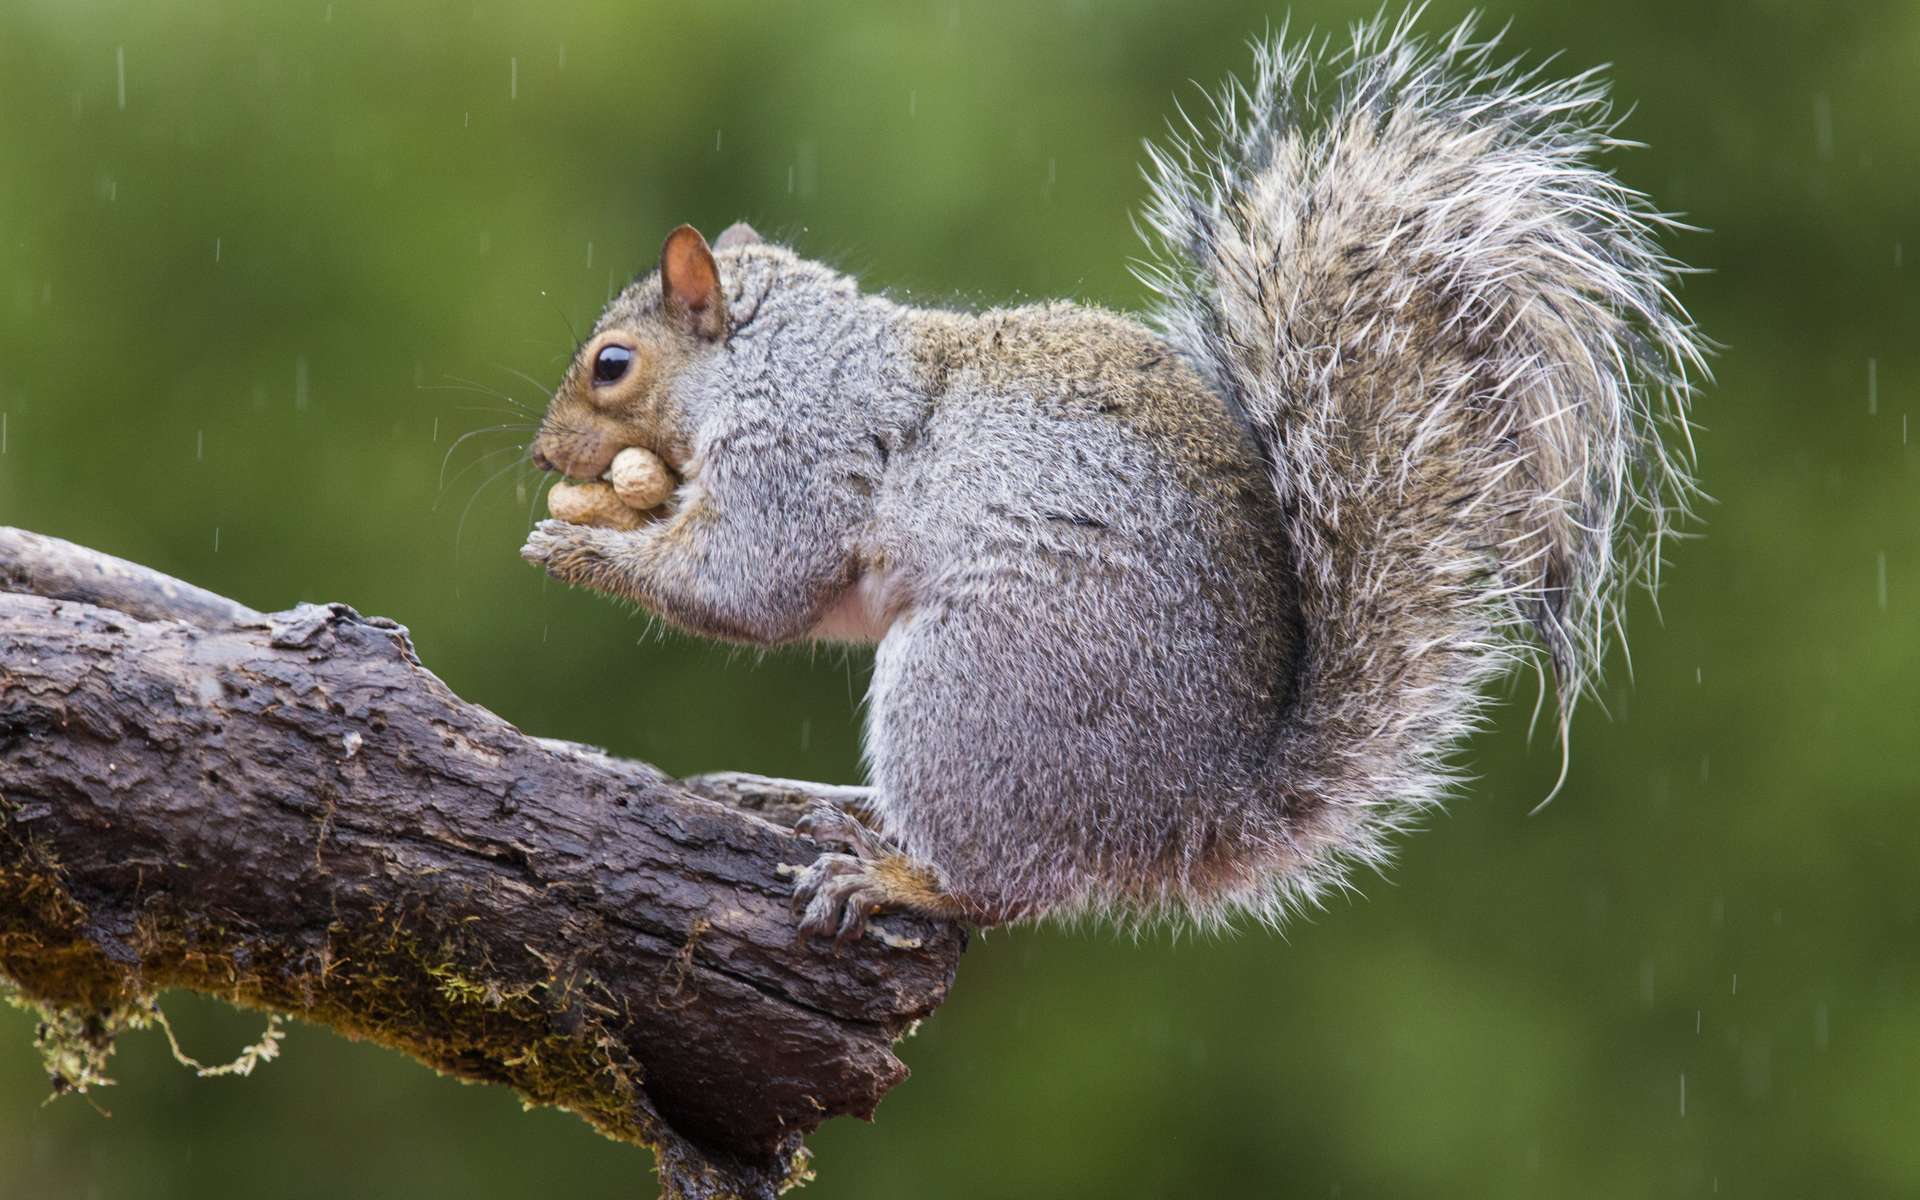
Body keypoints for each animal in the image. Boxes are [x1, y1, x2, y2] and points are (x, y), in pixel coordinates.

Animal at [518, 14, 1704, 940]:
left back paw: (894, 875)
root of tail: (1190, 817)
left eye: (611, 364)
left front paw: (580, 543)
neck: (769, 356)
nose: (541, 457)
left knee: (1002, 886)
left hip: (970, 688)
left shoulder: (800, 451)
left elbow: (749, 583)